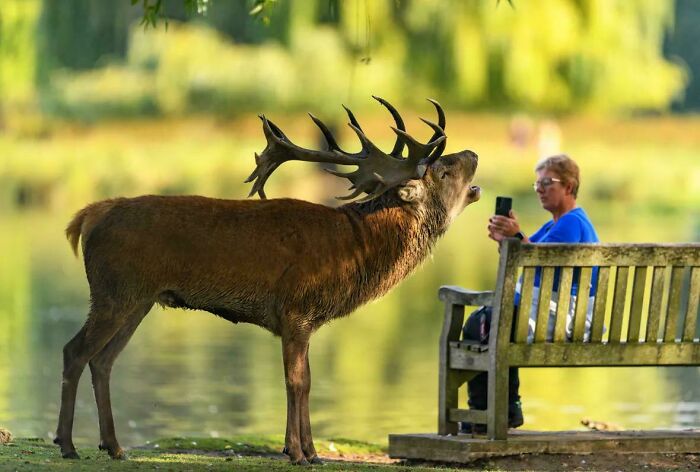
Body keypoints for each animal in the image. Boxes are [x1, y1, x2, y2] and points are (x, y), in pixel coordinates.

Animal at [54, 97, 480, 465]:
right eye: (443, 170)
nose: (474, 154)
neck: (354, 251)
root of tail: (89, 216)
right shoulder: (295, 310)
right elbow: (297, 381)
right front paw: (297, 453)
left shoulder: (307, 321)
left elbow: (308, 381)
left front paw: (312, 452)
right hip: (113, 291)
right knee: (75, 351)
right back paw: (68, 444)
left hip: (139, 299)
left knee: (103, 361)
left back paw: (113, 446)